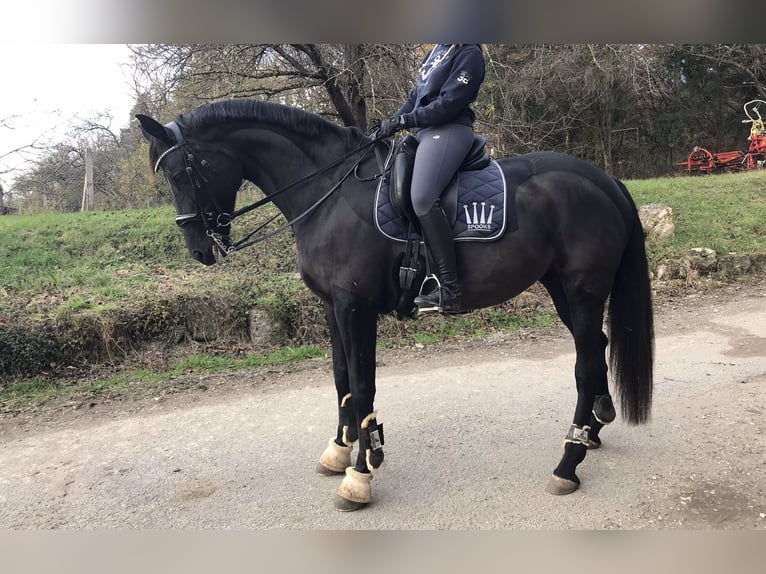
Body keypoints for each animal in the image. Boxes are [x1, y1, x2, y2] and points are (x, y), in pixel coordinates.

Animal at [136, 98, 654, 511]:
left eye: (182, 173)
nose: (200, 250)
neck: (329, 193)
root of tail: (604, 180)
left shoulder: (355, 307)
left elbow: (363, 385)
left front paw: (361, 474)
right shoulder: (332, 308)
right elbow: (342, 379)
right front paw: (341, 449)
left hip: (583, 291)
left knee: (586, 364)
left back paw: (568, 462)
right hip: (561, 288)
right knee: (596, 347)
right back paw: (594, 429)